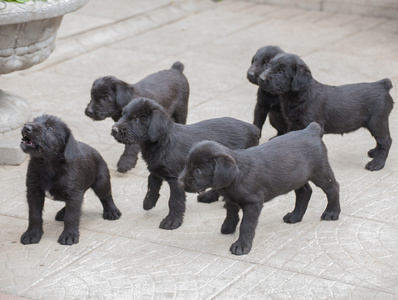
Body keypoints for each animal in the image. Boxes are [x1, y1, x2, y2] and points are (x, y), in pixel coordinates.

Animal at [19, 113, 121, 245]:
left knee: (106, 196)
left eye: (49, 128)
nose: (27, 127)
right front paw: (32, 234)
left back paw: (111, 211)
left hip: (101, 182)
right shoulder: (34, 192)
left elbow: (72, 216)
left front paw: (69, 235)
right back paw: (62, 212)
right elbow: (34, 215)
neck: (47, 164)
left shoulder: (74, 194)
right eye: (34, 120)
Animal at [112, 97, 262, 231]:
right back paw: (209, 196)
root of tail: (253, 128)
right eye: (123, 115)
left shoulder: (175, 179)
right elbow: (151, 183)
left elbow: (174, 201)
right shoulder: (156, 169)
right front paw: (148, 202)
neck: (163, 141)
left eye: (136, 119)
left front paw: (172, 221)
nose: (114, 130)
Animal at [179, 123, 340, 256]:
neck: (236, 177)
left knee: (333, 189)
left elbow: (246, 225)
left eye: (198, 171)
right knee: (304, 192)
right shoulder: (231, 199)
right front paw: (228, 227)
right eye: (186, 165)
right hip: (298, 177)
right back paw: (295, 216)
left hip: (321, 172)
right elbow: (231, 214)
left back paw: (332, 213)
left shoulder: (253, 204)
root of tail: (311, 130)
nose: (180, 183)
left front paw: (241, 246)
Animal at [260, 52, 394, 171]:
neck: (302, 96)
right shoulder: (293, 124)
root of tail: (382, 85)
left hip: (376, 121)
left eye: (280, 72)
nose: (261, 78)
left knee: (386, 141)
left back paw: (377, 163)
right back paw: (374, 152)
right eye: (268, 65)